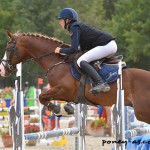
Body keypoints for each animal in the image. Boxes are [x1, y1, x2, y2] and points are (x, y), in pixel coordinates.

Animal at [0, 30, 150, 124]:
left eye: (8, 49)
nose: (2, 69)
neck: (57, 61)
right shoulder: (64, 94)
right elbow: (44, 98)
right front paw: (65, 109)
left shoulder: (63, 90)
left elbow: (41, 97)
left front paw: (58, 110)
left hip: (142, 112)